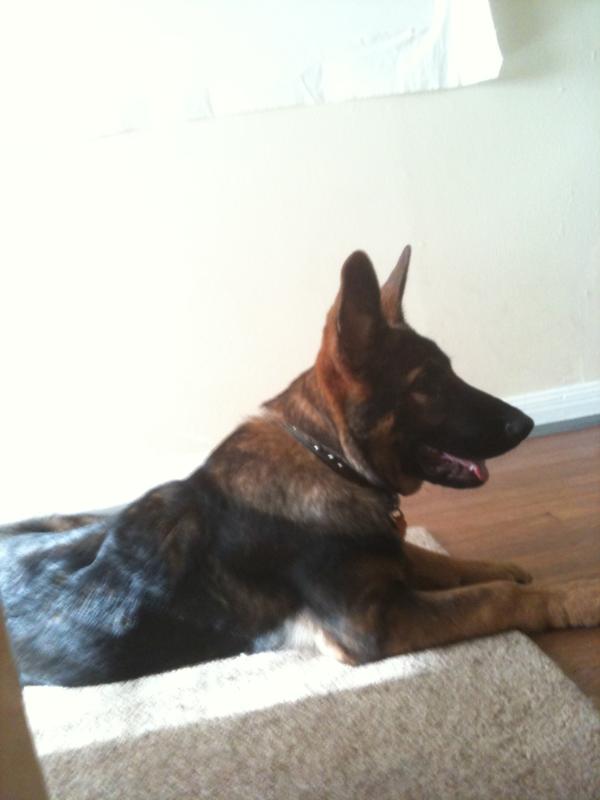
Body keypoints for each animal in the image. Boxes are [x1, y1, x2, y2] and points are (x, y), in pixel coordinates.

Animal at [1, 247, 599, 686]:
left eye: (449, 371)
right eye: (427, 384)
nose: (525, 423)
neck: (328, 460)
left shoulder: (389, 559)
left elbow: (439, 560)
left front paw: (499, 565)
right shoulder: (374, 623)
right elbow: (492, 597)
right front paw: (572, 597)